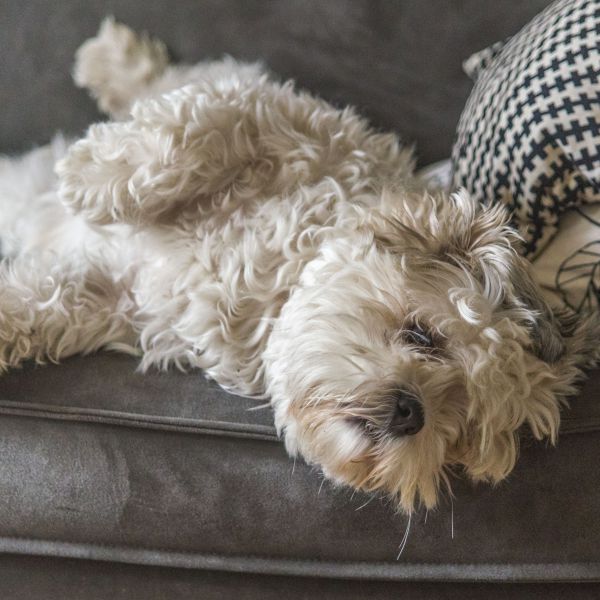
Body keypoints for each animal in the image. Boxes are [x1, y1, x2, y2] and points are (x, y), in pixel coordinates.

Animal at [0, 21, 596, 512]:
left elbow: (37, 305)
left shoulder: (111, 299)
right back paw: (107, 62)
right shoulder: (289, 123)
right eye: (423, 336)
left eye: (463, 425)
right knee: (166, 82)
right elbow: (199, 129)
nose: (412, 411)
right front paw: (93, 175)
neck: (268, 293)